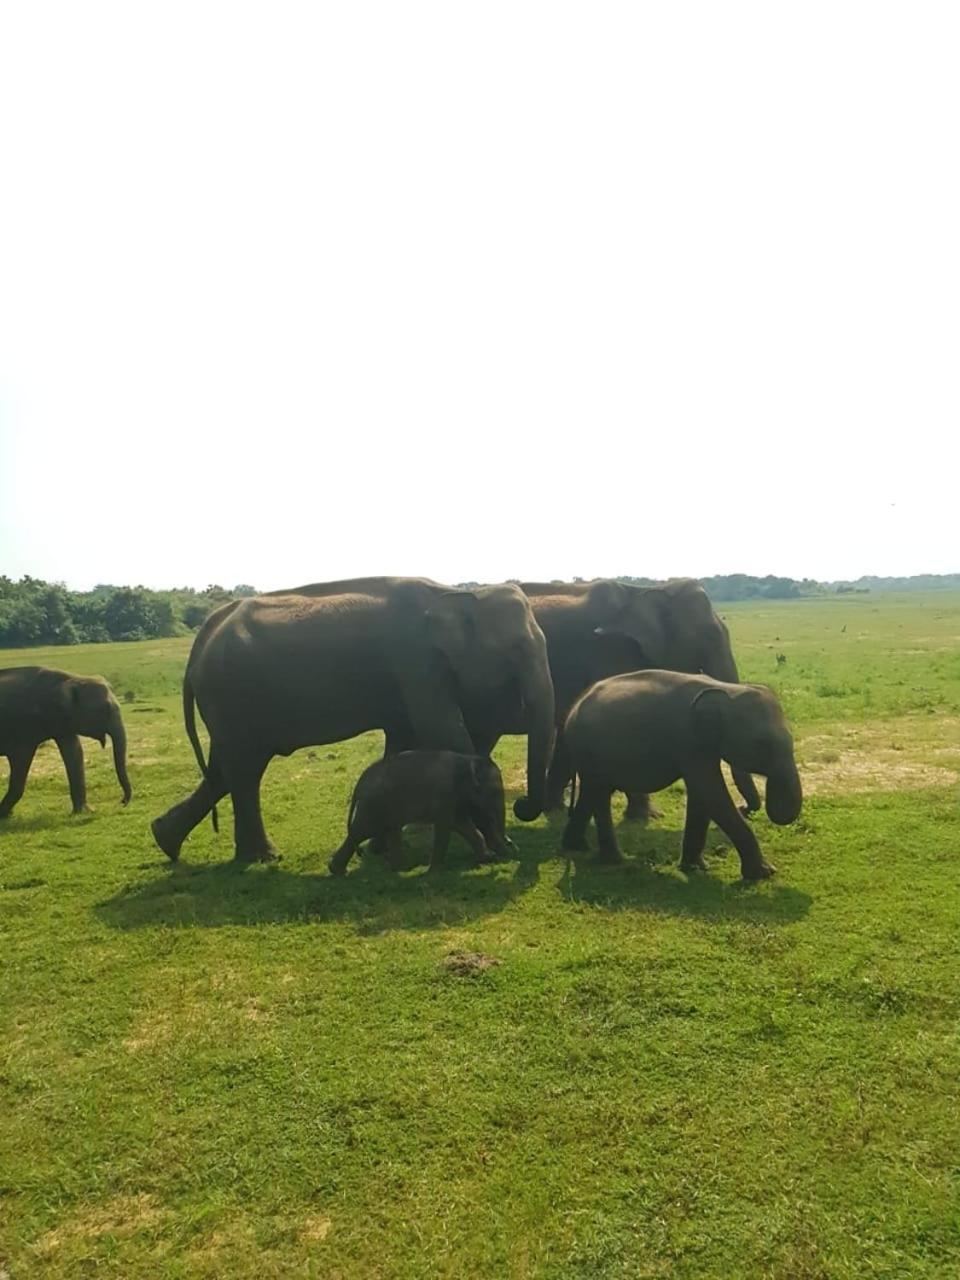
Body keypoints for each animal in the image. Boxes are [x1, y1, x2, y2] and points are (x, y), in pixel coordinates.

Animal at [0, 665, 133, 814]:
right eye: (106, 709)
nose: (122, 802)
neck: (74, 678)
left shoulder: (64, 723)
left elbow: (75, 753)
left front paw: (84, 811)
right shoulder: (24, 727)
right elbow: (21, 759)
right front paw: (4, 814)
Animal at [151, 578, 555, 860]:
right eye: (518, 648)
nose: (522, 807)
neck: (454, 593)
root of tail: (201, 638)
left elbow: (403, 739)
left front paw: (379, 847)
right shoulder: (415, 662)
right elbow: (440, 728)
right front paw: (502, 847)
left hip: (228, 704)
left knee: (224, 770)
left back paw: (167, 841)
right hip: (232, 695)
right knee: (244, 771)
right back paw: (264, 857)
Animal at [327, 747, 514, 875]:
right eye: (494, 791)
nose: (510, 849)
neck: (468, 760)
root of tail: (360, 783)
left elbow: (462, 825)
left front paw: (488, 858)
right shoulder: (444, 793)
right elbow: (445, 828)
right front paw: (433, 872)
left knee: (390, 830)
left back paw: (401, 869)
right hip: (373, 805)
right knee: (362, 832)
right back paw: (338, 871)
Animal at [471, 576, 762, 814]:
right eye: (709, 637)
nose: (745, 807)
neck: (645, 592)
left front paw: (556, 809)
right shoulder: (611, 653)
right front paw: (645, 816)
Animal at [563, 670, 803, 880]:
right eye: (762, 745)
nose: (744, 807)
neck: (726, 689)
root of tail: (574, 707)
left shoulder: (700, 745)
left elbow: (702, 796)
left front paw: (694, 867)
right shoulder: (689, 741)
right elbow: (711, 792)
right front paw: (764, 874)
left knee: (592, 793)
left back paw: (576, 847)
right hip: (589, 750)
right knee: (599, 795)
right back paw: (612, 860)